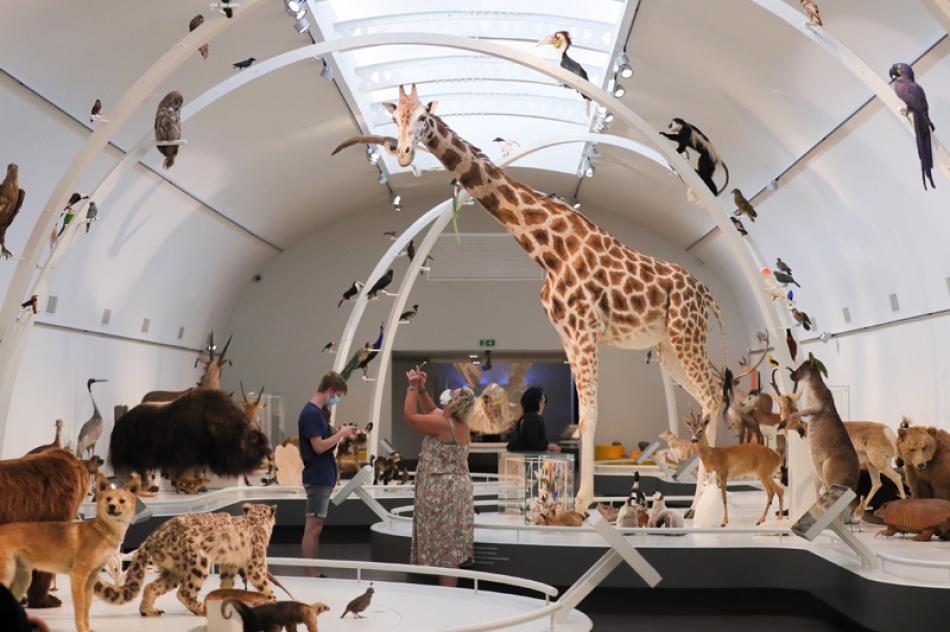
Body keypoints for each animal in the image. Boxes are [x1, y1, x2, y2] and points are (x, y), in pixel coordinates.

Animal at [336, 84, 736, 512]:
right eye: (395, 117)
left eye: (423, 117)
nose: (404, 153)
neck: (546, 249)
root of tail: (707, 292)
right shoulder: (567, 334)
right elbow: (587, 413)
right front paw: (578, 501)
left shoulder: (583, 330)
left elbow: (590, 413)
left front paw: (582, 502)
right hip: (668, 348)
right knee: (711, 393)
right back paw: (702, 501)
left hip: (685, 334)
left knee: (712, 394)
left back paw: (702, 504)